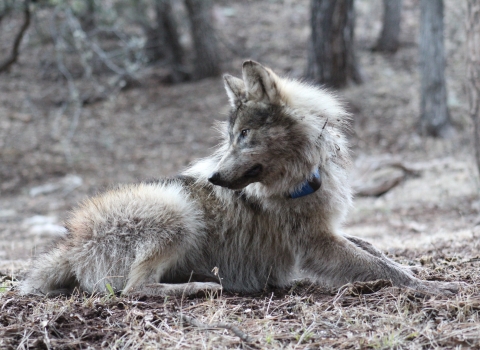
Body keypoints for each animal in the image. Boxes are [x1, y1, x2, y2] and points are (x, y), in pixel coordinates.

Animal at [20, 61, 464, 296]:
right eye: (231, 137)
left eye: (245, 135)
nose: (214, 177)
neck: (301, 179)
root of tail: (70, 244)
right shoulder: (317, 245)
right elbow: (379, 267)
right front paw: (436, 288)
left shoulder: (330, 230)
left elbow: (376, 251)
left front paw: (420, 270)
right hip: (177, 212)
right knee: (136, 289)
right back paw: (200, 287)